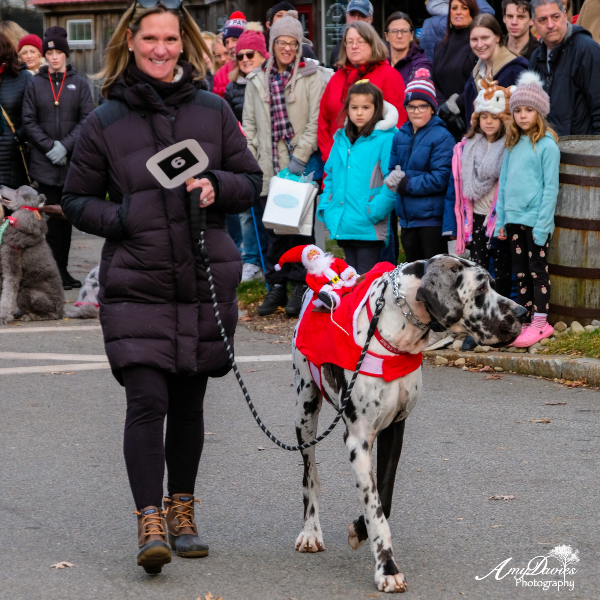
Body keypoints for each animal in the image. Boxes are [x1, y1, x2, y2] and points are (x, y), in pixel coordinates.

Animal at [0, 185, 98, 324]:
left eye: (18, 191)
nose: (1, 186)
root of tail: (62, 311)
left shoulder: (12, 270)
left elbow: (7, 295)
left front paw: (4, 317)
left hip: (28, 293)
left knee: (50, 315)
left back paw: (30, 316)